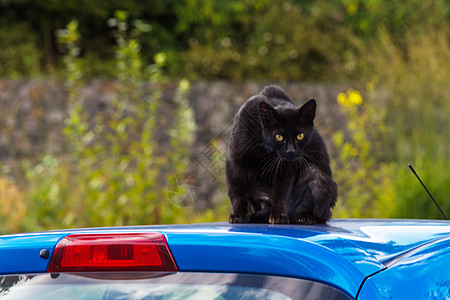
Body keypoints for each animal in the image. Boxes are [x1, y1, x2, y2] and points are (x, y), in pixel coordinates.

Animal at [227, 85, 336, 224]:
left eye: (300, 136)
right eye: (279, 136)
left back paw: (306, 217)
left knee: (323, 214)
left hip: (315, 175)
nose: (290, 151)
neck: (264, 148)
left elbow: (281, 192)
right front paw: (238, 215)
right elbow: (236, 190)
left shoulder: (285, 168)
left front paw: (278, 215)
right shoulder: (234, 163)